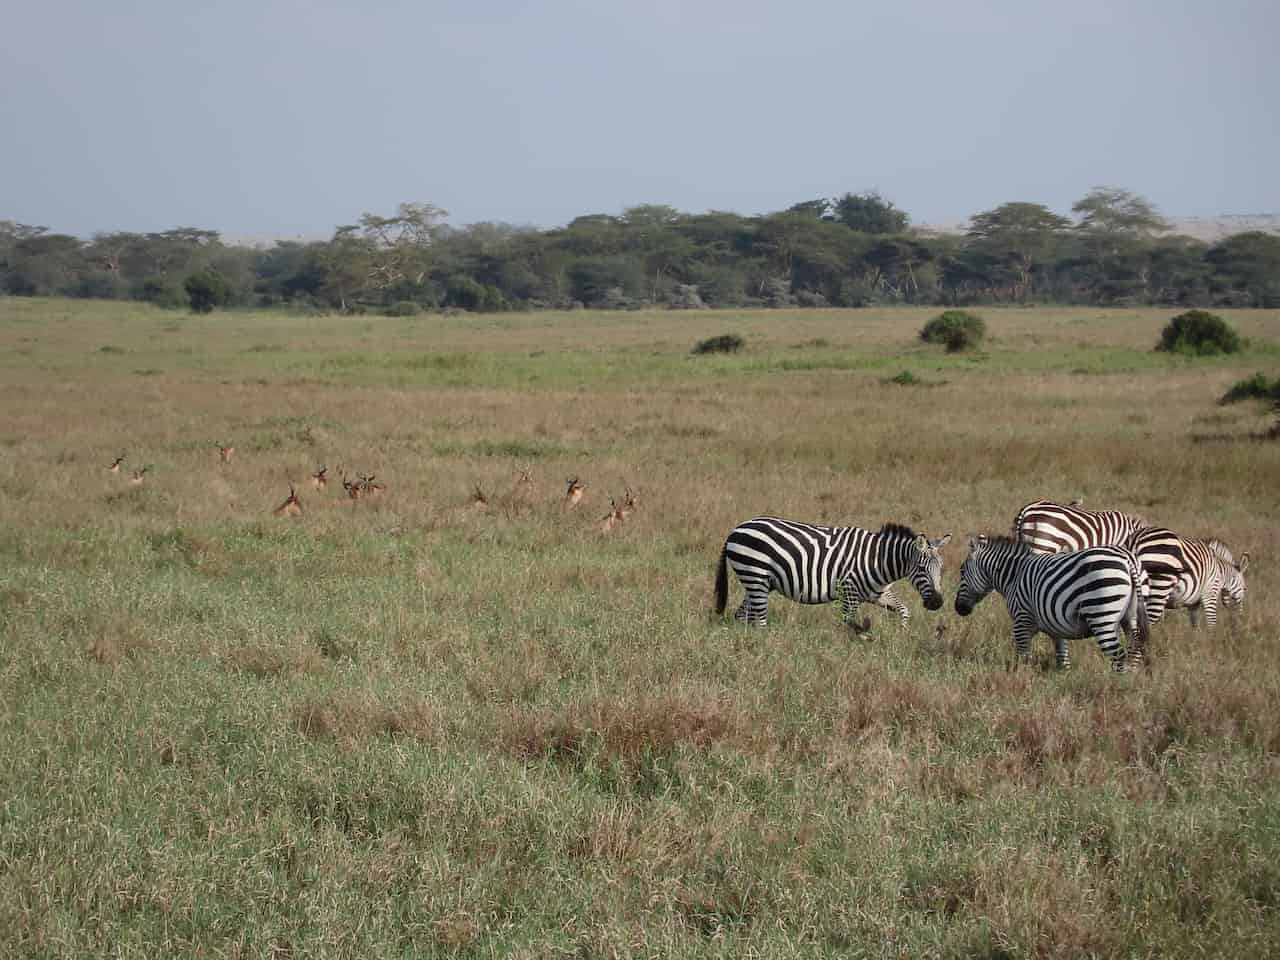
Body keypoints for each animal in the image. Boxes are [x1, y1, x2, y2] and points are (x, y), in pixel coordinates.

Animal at [711, 519, 952, 632]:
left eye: (941, 569)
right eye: (921, 569)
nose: (937, 603)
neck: (878, 561)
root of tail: (736, 529)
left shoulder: (878, 594)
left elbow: (904, 610)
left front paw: (902, 633)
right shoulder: (849, 591)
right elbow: (847, 623)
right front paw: (844, 650)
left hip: (756, 581)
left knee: (742, 615)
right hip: (756, 576)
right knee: (759, 620)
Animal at [952, 537, 1152, 670]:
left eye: (961, 572)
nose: (958, 608)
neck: (1014, 576)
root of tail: (1127, 558)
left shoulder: (1021, 620)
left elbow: (1023, 657)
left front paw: (1021, 679)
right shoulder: (1057, 624)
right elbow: (1062, 655)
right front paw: (1063, 679)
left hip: (1102, 616)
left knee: (1118, 655)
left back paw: (1117, 687)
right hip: (1131, 616)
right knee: (1134, 649)